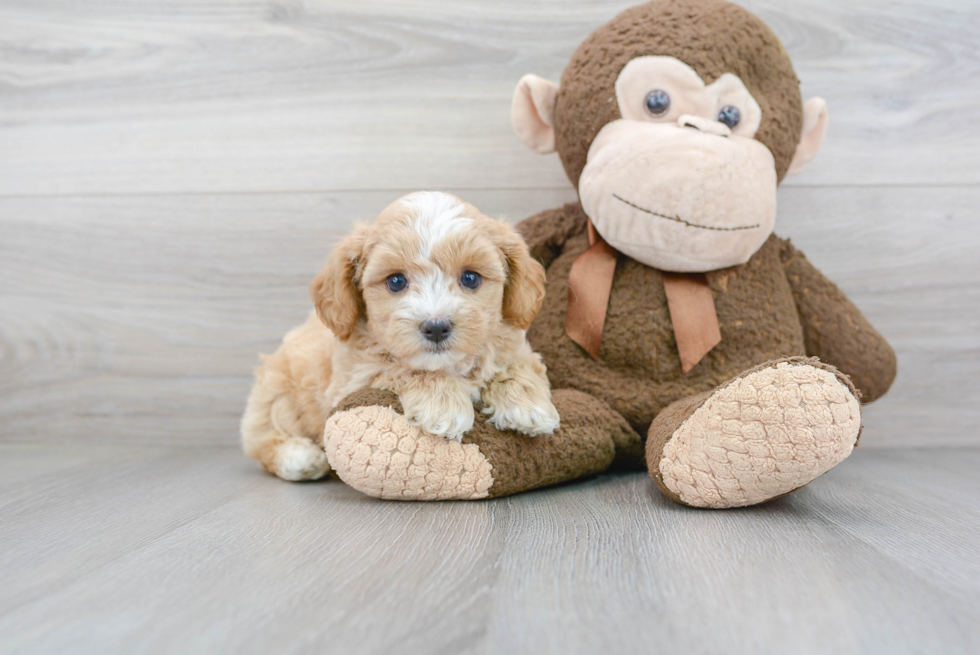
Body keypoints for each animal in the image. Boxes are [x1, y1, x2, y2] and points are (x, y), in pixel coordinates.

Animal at [241, 192, 560, 480]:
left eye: (471, 278)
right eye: (396, 281)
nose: (436, 327)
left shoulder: (517, 346)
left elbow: (517, 365)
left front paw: (528, 406)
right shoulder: (353, 379)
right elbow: (400, 367)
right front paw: (444, 405)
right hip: (278, 395)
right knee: (261, 439)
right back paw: (299, 457)